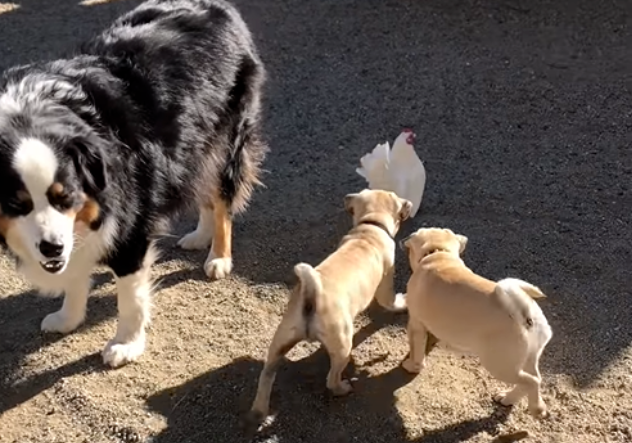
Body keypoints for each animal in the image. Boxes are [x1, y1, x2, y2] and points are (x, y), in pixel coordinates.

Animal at [0, 0, 266, 368]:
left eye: (65, 197)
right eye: (17, 204)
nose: (51, 248)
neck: (28, 116)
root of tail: (218, 7)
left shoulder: (130, 226)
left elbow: (130, 296)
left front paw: (126, 344)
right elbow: (74, 271)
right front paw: (68, 317)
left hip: (226, 139)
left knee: (222, 199)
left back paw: (218, 256)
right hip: (192, 146)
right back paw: (201, 235)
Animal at [249, 189, 412, 424]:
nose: (409, 205)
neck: (370, 226)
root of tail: (312, 293)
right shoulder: (386, 286)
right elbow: (391, 301)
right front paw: (403, 302)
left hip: (280, 342)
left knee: (266, 376)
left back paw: (259, 412)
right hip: (343, 345)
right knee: (332, 379)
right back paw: (342, 388)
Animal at [400, 229, 552, 420]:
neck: (439, 254)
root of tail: (525, 314)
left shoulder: (416, 324)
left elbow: (417, 351)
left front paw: (412, 366)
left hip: (499, 365)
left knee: (532, 381)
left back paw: (536, 408)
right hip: (529, 356)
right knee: (533, 378)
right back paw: (509, 398)